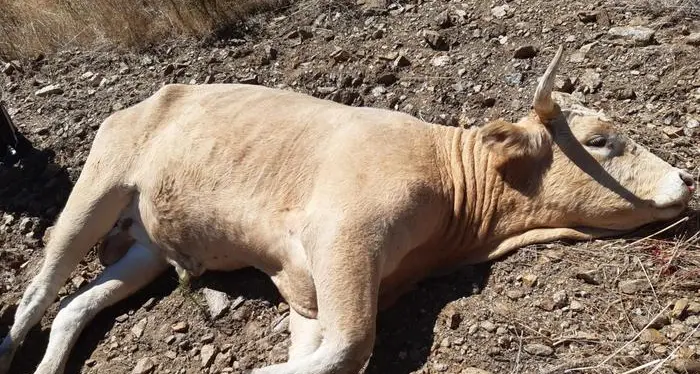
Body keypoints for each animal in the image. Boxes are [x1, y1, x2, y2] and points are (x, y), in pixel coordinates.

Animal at [0, 45, 696, 372]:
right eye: (601, 139)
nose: (686, 179)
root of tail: (157, 92)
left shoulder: (307, 283)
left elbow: (323, 352)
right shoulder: (343, 235)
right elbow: (351, 345)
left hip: (144, 246)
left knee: (72, 307)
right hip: (98, 184)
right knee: (38, 290)